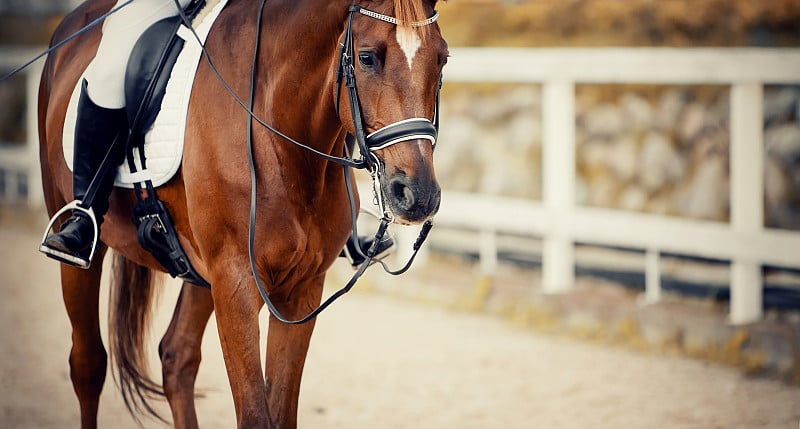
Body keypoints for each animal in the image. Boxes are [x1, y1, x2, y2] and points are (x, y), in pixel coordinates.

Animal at [37, 1, 446, 426]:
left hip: (201, 274)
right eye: (367, 57)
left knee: (177, 357)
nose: (417, 195)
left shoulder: (301, 289)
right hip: (86, 247)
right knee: (87, 363)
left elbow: (281, 411)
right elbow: (254, 414)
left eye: (442, 59)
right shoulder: (236, 283)